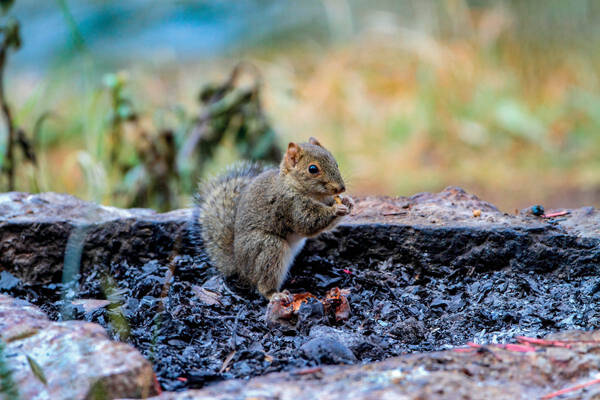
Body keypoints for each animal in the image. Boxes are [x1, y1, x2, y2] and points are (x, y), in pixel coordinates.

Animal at [199, 137, 354, 296]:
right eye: (313, 169)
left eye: (336, 163)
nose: (341, 188)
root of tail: (239, 267)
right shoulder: (290, 205)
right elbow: (307, 222)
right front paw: (336, 209)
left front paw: (348, 202)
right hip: (269, 247)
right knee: (264, 282)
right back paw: (275, 295)